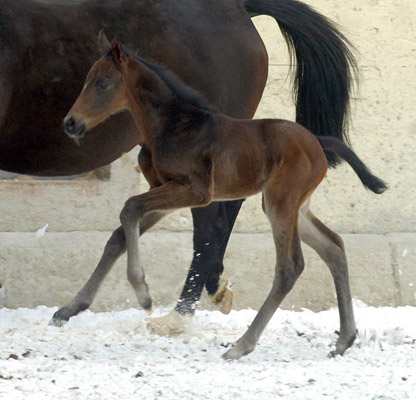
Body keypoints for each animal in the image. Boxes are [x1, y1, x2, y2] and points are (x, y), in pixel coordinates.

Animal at [63, 33, 386, 360]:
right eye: (88, 79)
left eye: (103, 83)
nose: (71, 123)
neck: (173, 124)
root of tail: (318, 143)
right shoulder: (166, 188)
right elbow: (120, 232)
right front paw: (70, 308)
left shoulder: (197, 190)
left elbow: (129, 207)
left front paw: (143, 294)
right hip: (295, 205)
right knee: (333, 247)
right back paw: (344, 339)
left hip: (280, 201)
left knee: (290, 266)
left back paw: (242, 345)